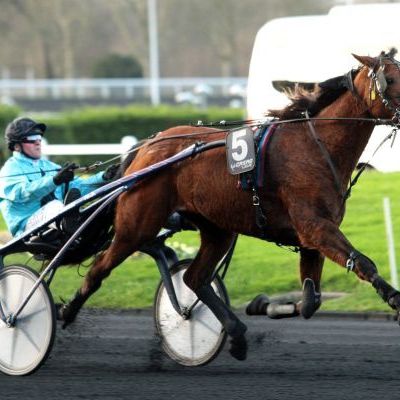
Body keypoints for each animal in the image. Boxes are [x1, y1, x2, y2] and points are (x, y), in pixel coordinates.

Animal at [59, 51, 400, 360]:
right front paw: (394, 298)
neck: (315, 146)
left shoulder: (312, 237)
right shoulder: (315, 227)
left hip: (216, 228)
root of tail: (146, 147)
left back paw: (235, 333)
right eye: (391, 78)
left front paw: (264, 305)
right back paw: (66, 312)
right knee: (99, 268)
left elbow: (309, 302)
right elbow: (362, 263)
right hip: (137, 226)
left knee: (194, 278)